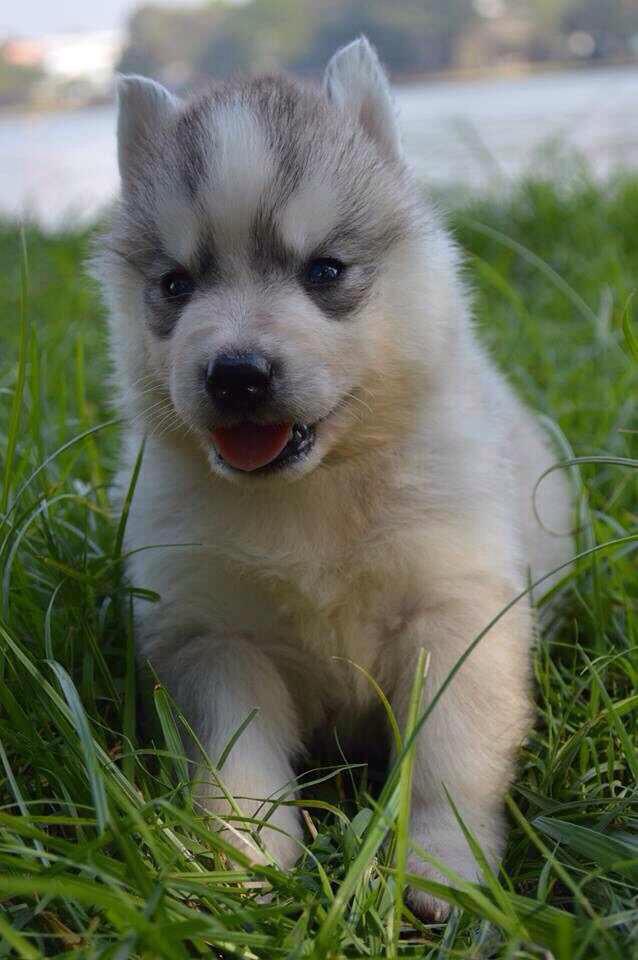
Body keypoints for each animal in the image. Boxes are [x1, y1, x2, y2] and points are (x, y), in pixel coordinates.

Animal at [94, 37, 572, 920]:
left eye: (324, 271)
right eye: (176, 284)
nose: (236, 374)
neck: (308, 494)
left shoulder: (457, 611)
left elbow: (451, 755)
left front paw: (442, 865)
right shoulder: (215, 635)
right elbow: (238, 767)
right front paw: (244, 862)